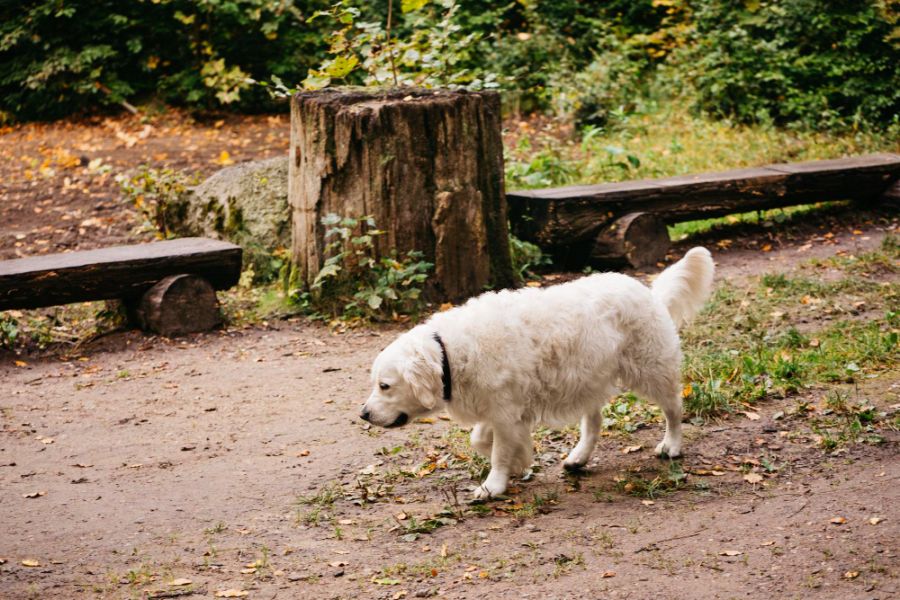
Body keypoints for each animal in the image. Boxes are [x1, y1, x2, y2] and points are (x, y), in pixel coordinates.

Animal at [362, 246, 712, 500]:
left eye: (385, 386)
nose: (363, 414)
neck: (449, 351)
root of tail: (649, 293)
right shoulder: (502, 410)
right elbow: (483, 440)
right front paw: (519, 462)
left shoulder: (504, 412)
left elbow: (497, 453)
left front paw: (493, 486)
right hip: (587, 378)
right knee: (594, 423)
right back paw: (579, 457)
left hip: (652, 372)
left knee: (674, 409)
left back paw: (672, 445)